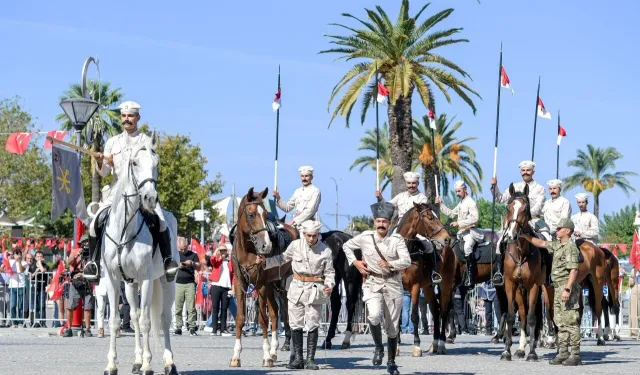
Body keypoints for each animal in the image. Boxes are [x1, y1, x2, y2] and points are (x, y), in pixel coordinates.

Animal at [102, 136, 178, 375]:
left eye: (157, 163)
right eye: (134, 162)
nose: (150, 198)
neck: (125, 229)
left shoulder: (145, 279)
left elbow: (147, 322)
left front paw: (147, 364)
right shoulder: (113, 279)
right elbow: (115, 320)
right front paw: (111, 365)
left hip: (165, 281)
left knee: (163, 319)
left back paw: (168, 362)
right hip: (130, 284)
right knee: (134, 316)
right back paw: (136, 361)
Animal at [229, 187, 298, 368]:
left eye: (266, 214)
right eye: (251, 214)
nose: (266, 245)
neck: (247, 251)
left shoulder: (260, 284)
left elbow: (262, 319)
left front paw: (266, 355)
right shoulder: (240, 284)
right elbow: (240, 318)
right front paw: (236, 356)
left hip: (284, 287)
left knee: (287, 315)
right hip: (272, 286)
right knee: (275, 314)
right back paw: (274, 351)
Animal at [396, 204, 456, 356]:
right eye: (430, 217)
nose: (446, 238)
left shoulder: (415, 287)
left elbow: (414, 316)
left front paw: (417, 346)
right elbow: (397, 318)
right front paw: (396, 346)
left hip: (446, 286)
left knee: (444, 312)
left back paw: (441, 344)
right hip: (428, 288)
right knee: (435, 310)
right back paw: (434, 344)